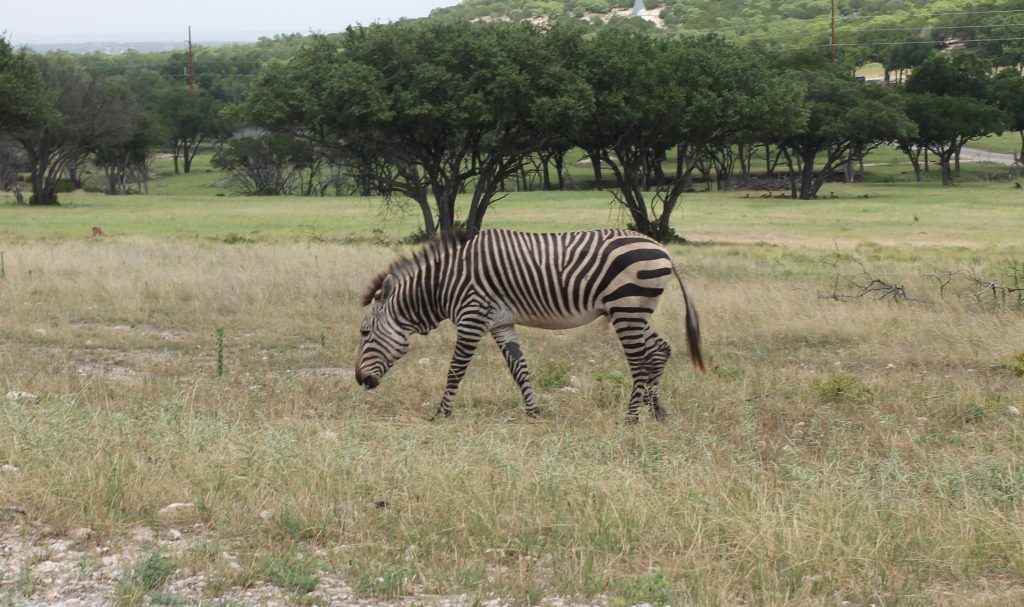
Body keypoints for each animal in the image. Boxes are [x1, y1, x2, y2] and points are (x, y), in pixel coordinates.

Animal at [354, 228, 704, 421]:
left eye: (364, 332)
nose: (359, 380)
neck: (443, 283)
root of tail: (661, 248)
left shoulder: (472, 317)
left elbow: (455, 370)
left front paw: (441, 413)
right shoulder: (500, 323)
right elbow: (518, 368)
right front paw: (533, 411)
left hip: (626, 306)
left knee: (640, 359)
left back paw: (631, 417)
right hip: (634, 309)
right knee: (659, 350)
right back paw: (656, 411)